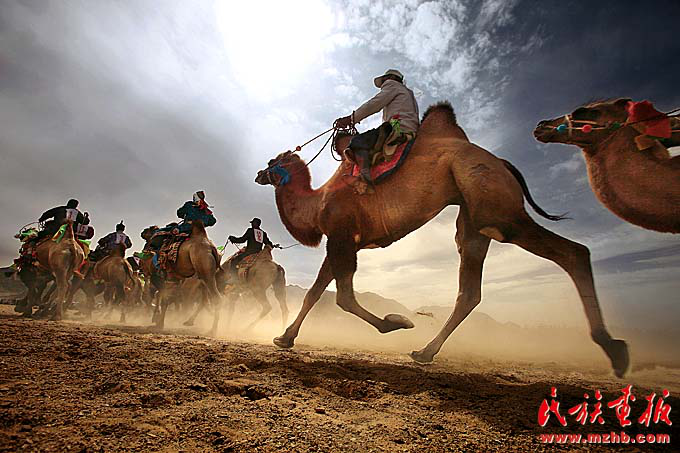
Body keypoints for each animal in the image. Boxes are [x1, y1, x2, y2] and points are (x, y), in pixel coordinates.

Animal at [256, 102, 629, 378]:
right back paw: (424, 352)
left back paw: (616, 351)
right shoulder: (341, 240)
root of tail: (502, 162)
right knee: (470, 290)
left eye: (272, 161)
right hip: (474, 220)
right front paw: (284, 338)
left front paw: (397, 323)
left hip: (496, 208)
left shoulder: (342, 236)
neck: (318, 201)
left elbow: (342, 298)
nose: (259, 173)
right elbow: (315, 292)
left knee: (574, 252)